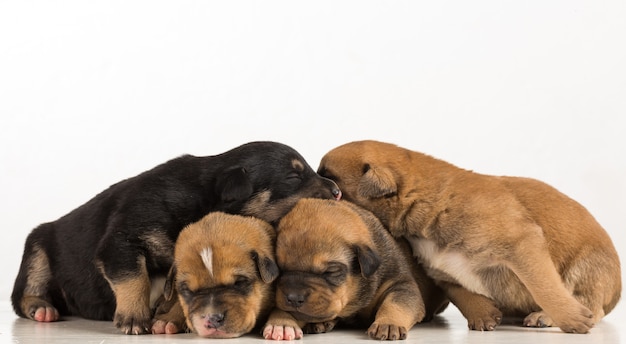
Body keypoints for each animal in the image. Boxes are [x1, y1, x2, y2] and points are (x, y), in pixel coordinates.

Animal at [11, 139, 342, 334]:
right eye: (294, 176)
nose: (338, 191)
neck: (202, 199)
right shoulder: (120, 242)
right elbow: (134, 278)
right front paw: (134, 318)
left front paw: (166, 317)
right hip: (37, 248)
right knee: (22, 294)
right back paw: (41, 308)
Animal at [260, 198, 446, 340]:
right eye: (281, 269)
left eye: (330, 272)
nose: (293, 298)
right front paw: (282, 323)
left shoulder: (400, 283)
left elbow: (396, 303)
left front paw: (388, 323)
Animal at [316, 139, 620, 334]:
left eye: (331, 178)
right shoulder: (442, 271)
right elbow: (463, 294)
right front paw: (483, 315)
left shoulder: (522, 244)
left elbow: (544, 286)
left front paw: (571, 319)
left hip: (587, 268)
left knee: (590, 302)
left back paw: (547, 316)